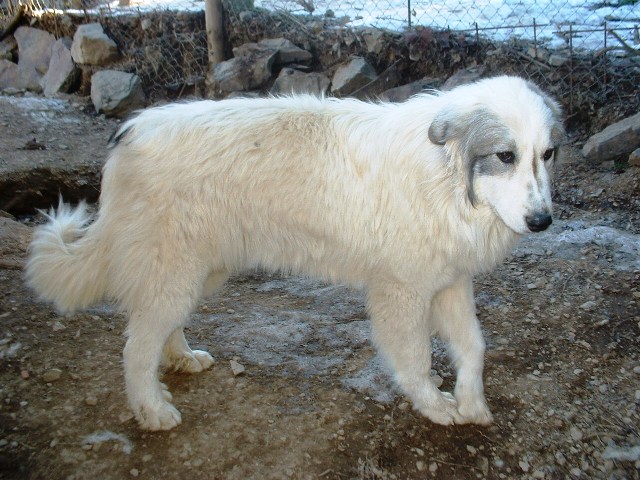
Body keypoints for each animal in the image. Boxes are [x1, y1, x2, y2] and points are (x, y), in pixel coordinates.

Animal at [27, 76, 564, 432]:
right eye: (505, 156)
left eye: (547, 154)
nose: (543, 221)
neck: (445, 176)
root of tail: (130, 131)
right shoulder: (402, 292)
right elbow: (415, 360)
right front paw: (435, 406)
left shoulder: (451, 281)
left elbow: (474, 347)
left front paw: (474, 404)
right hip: (175, 270)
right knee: (136, 348)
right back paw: (152, 410)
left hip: (198, 272)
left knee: (159, 328)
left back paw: (181, 359)